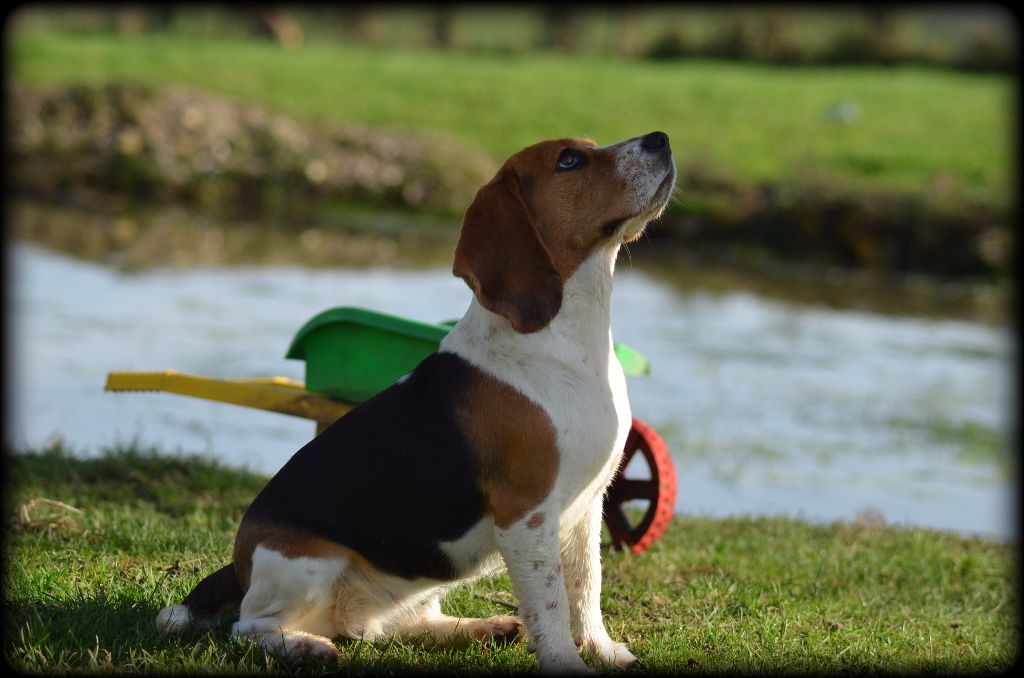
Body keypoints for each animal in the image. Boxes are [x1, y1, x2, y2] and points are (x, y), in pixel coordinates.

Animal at [155, 133, 675, 675]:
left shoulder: (587, 506)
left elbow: (585, 590)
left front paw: (603, 651)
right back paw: (304, 645)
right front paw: (567, 664)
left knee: (387, 628)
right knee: (249, 628)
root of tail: (239, 566)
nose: (659, 139)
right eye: (569, 160)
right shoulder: (527, 514)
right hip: (307, 564)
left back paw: (482, 628)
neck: (565, 342)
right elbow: (552, 603)